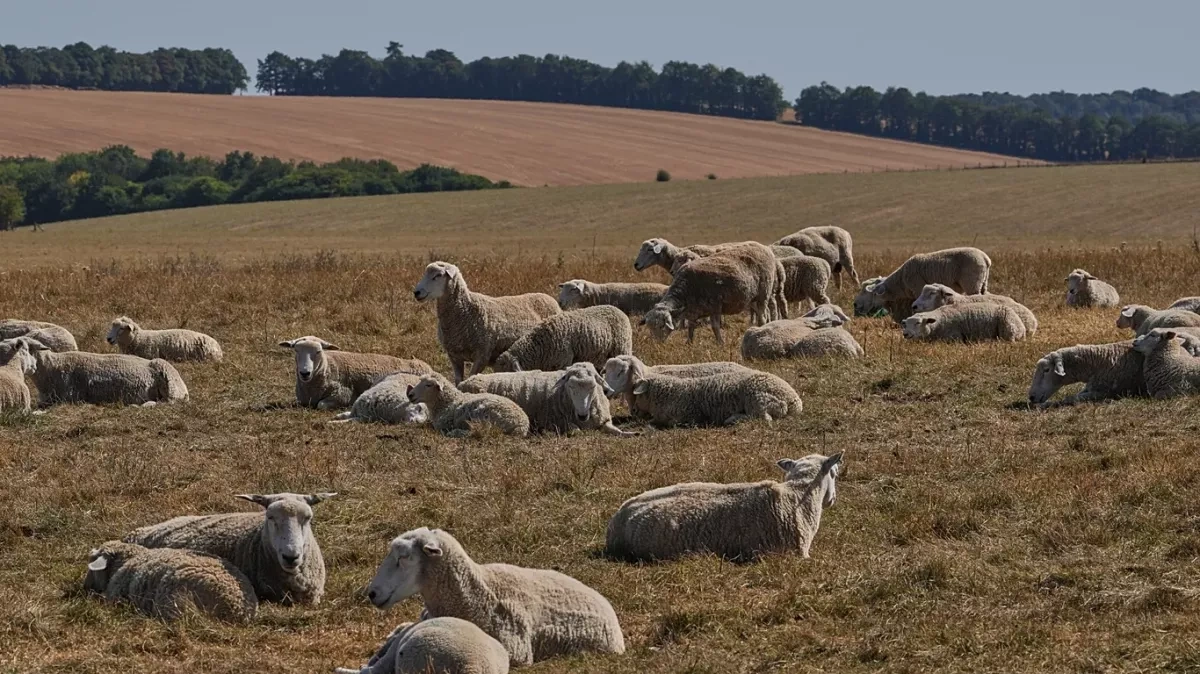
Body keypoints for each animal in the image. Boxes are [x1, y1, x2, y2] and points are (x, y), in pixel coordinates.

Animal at [279, 336, 433, 410]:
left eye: (318, 351)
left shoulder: (342, 395)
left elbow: (321, 405)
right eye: (296, 350)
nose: (305, 373)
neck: (328, 366)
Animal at [414, 261, 560, 383]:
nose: (416, 292)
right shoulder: (454, 356)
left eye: (438, 275)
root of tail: (547, 296)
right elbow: (458, 381)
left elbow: (471, 377)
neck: (465, 310)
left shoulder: (482, 354)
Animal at [459, 363, 631, 436]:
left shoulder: (603, 421)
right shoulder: (556, 421)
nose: (582, 415)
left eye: (593, 387)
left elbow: (619, 432)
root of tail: (465, 381)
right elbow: (577, 431)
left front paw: (631, 433)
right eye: (571, 387)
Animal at [627, 369, 802, 427]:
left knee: (764, 419)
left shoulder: (689, 416)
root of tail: (794, 401)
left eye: (637, 394)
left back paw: (732, 419)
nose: (633, 411)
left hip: (758, 398)